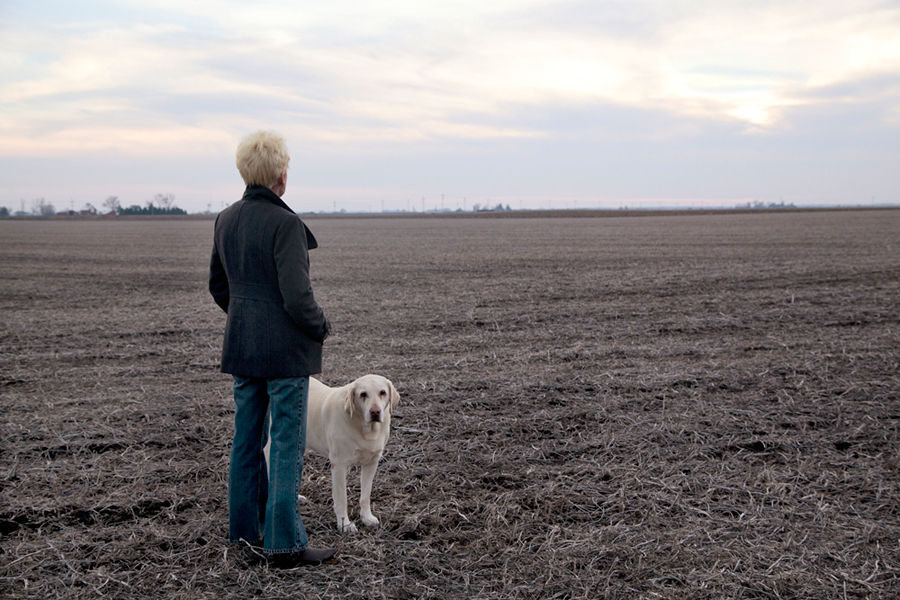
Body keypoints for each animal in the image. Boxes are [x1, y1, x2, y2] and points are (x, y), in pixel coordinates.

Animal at [264, 372, 398, 532]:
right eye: (363, 394)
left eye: (382, 392)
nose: (375, 412)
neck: (365, 428)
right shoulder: (339, 466)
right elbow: (341, 500)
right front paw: (345, 524)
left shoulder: (371, 463)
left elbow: (365, 495)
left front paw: (367, 518)